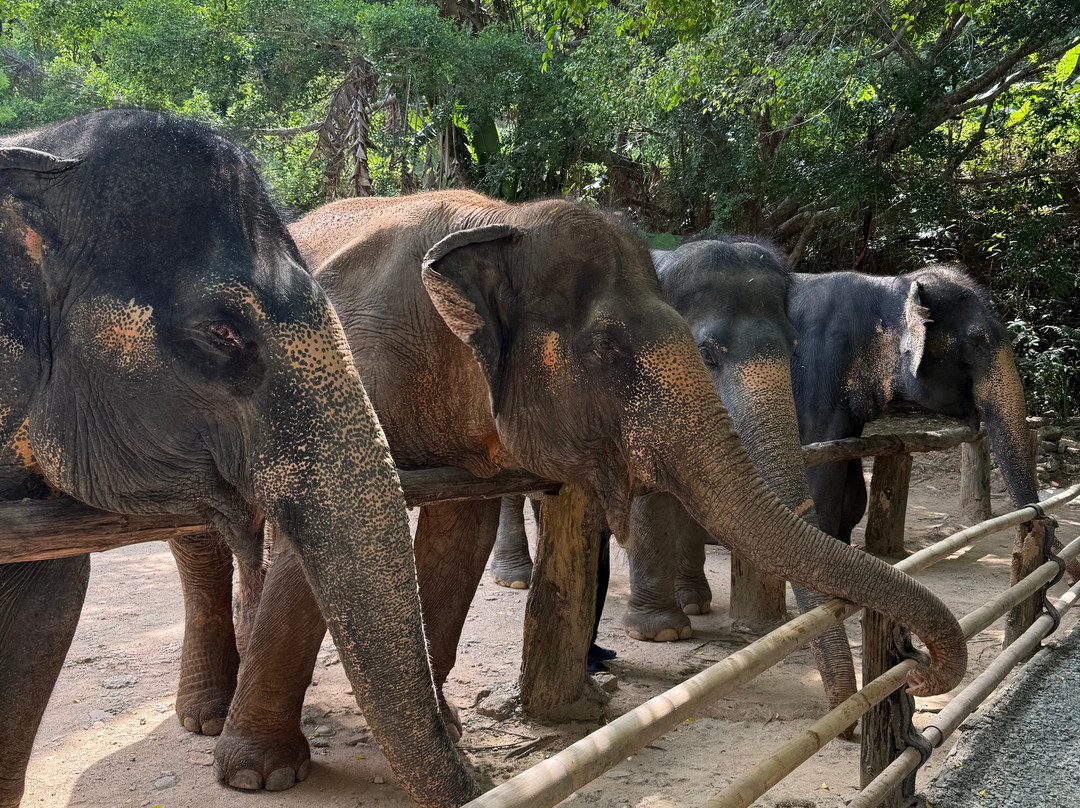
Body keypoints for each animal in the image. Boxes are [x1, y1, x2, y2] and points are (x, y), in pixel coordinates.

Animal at [183, 189, 968, 793]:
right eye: (609, 349)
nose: (914, 673)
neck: (498, 223)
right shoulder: (334, 370)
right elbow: (315, 538)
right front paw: (259, 776)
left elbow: (457, 536)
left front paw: (444, 726)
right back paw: (207, 718)